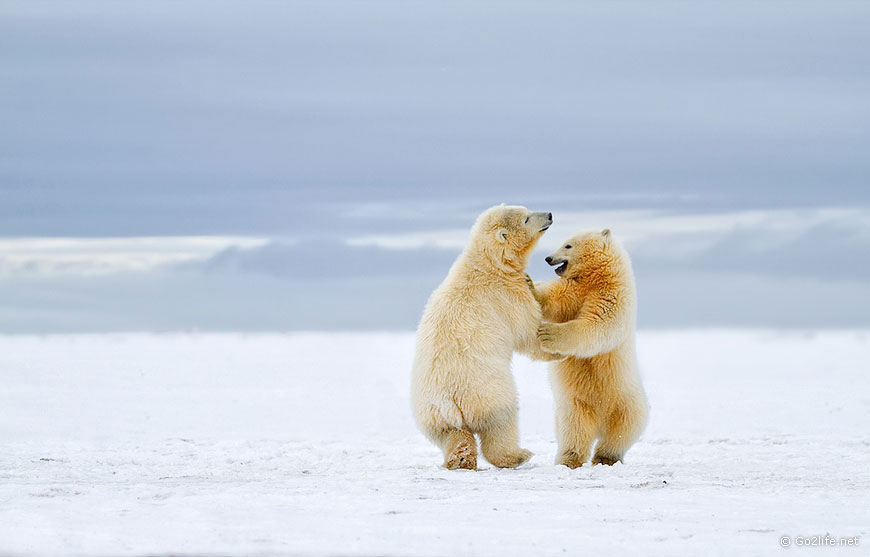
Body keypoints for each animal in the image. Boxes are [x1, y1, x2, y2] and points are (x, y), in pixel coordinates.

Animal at [412, 204, 564, 470]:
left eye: (526, 209)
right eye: (526, 218)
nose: (549, 214)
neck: (489, 264)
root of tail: (449, 400)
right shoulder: (507, 295)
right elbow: (528, 334)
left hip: (432, 414)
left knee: (452, 434)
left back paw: (460, 459)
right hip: (487, 390)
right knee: (501, 422)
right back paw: (518, 455)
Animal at [532, 228, 648, 466]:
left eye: (567, 245)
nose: (548, 257)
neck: (596, 277)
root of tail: (600, 424)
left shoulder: (613, 293)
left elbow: (598, 324)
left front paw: (547, 334)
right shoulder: (575, 288)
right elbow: (556, 299)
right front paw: (530, 284)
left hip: (627, 402)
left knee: (622, 430)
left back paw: (606, 457)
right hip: (574, 404)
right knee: (574, 430)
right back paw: (569, 459)